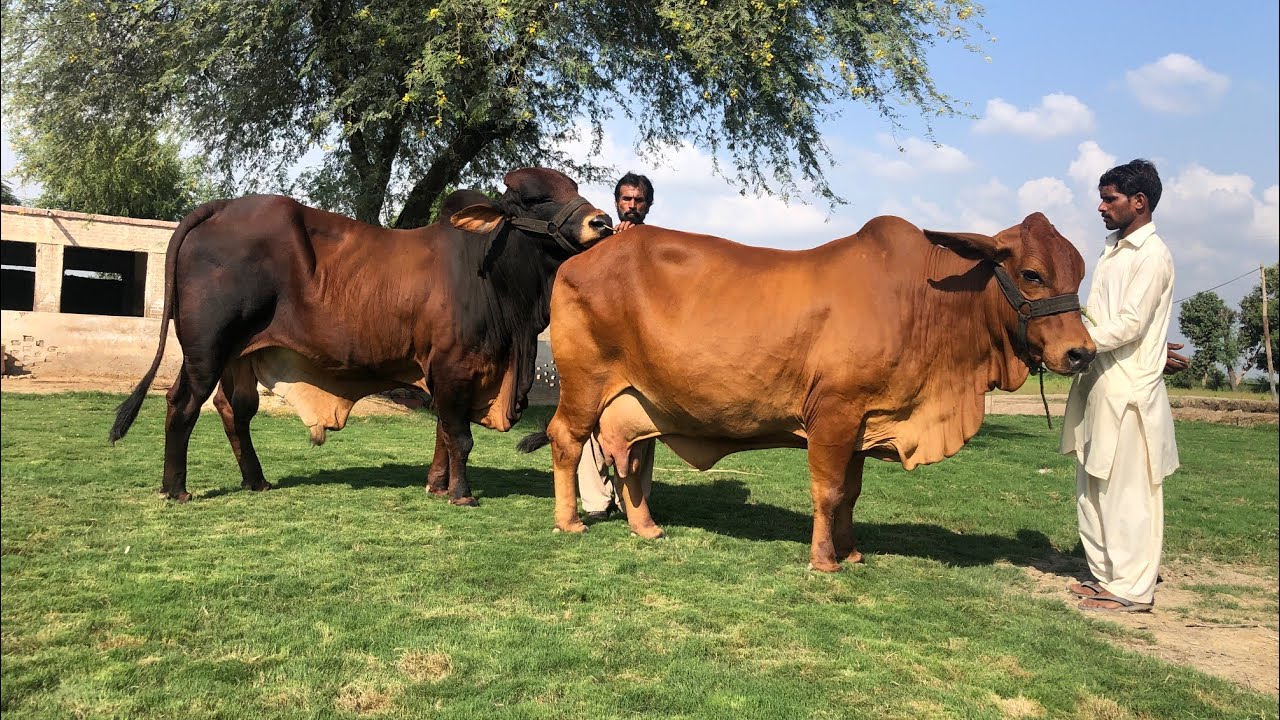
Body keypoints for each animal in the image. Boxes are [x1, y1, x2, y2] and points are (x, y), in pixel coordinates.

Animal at [110, 168, 614, 505]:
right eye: (533, 200)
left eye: (574, 189)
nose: (602, 221)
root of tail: (220, 207)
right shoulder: (454, 366)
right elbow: (460, 436)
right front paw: (461, 493)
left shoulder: (446, 372)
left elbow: (444, 434)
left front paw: (435, 486)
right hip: (205, 349)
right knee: (183, 404)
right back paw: (175, 489)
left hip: (240, 354)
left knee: (236, 410)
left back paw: (256, 480)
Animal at [518, 212, 1096, 571]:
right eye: (1031, 273)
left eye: (1080, 272)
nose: (1080, 353)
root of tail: (576, 261)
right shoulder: (834, 415)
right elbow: (829, 490)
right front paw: (825, 561)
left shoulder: (865, 421)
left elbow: (852, 494)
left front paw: (853, 553)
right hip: (584, 384)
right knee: (566, 439)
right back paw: (569, 522)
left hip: (639, 401)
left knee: (632, 457)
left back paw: (646, 528)